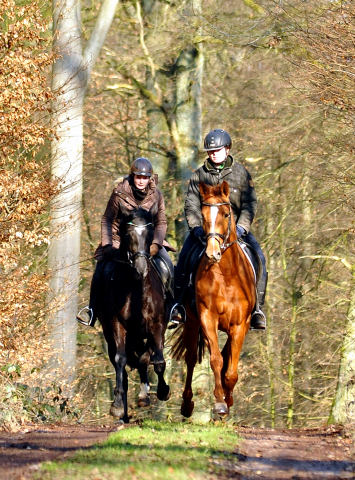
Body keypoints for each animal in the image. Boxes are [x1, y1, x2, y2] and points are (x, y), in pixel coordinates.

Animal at [98, 208, 172, 422]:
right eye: (128, 234)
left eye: (149, 234)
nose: (141, 269)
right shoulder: (117, 325)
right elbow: (120, 360)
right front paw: (117, 406)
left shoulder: (157, 325)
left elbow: (157, 361)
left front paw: (162, 391)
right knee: (123, 364)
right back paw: (123, 412)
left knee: (146, 359)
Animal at [172, 182, 256, 418]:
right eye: (202, 215)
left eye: (227, 214)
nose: (212, 253)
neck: (226, 274)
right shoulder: (207, 318)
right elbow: (216, 360)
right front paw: (219, 403)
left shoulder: (240, 325)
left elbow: (231, 368)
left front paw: (228, 400)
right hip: (191, 322)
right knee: (192, 358)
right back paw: (187, 404)